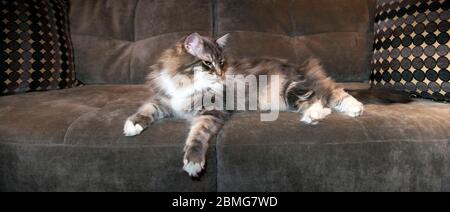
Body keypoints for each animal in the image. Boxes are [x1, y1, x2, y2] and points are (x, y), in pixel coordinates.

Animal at [123, 31, 412, 177]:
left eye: (222, 63)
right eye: (207, 63)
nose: (220, 74)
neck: (187, 83)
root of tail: (303, 68)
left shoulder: (213, 110)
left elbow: (198, 134)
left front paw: (193, 162)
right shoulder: (163, 100)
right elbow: (145, 111)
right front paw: (132, 126)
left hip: (291, 89)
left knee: (329, 93)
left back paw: (345, 110)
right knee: (324, 97)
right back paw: (318, 114)